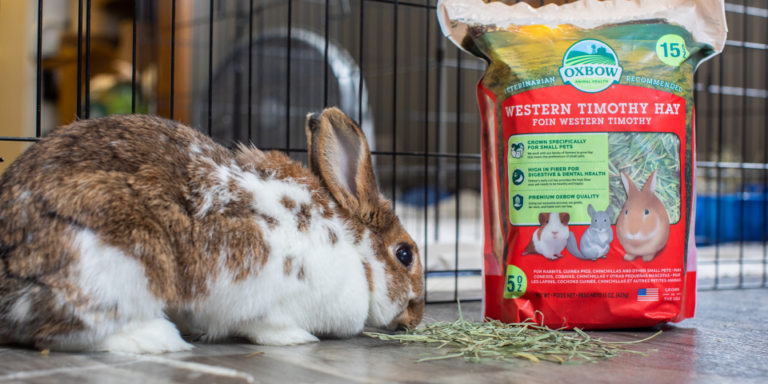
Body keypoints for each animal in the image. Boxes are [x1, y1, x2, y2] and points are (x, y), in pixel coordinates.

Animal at [0, 108, 426, 354]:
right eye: (404, 254)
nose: (416, 318)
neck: (357, 255)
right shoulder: (265, 293)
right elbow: (264, 326)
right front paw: (297, 338)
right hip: (119, 264)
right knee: (64, 331)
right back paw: (156, 340)